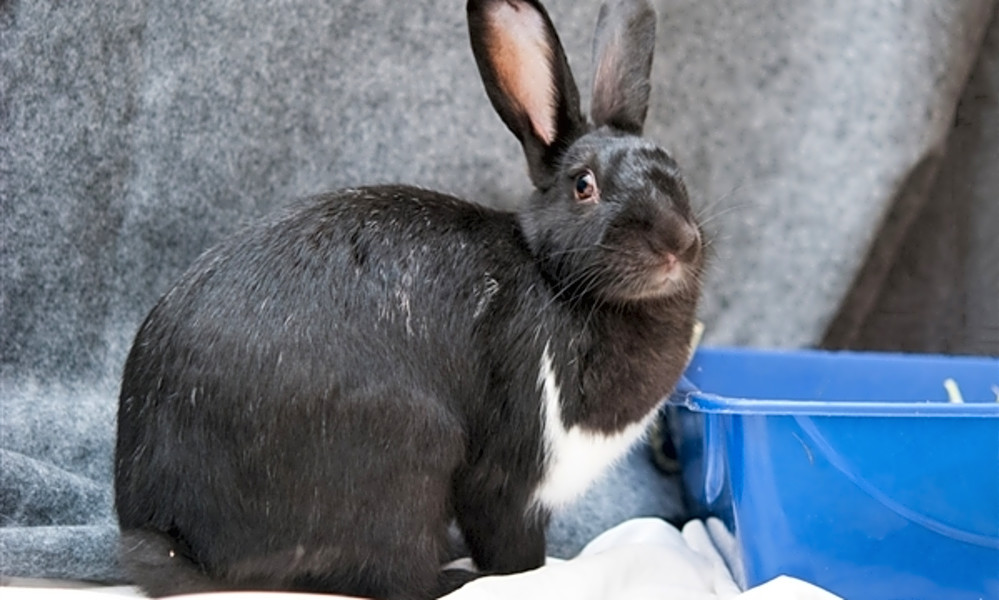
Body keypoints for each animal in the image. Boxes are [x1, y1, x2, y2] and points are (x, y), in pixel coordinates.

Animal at [113, 0, 705, 598]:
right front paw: (534, 574)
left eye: (675, 171)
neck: (554, 277)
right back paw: (452, 575)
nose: (678, 242)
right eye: (585, 185)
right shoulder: (511, 476)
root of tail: (179, 541)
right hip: (409, 458)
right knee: (395, 577)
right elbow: (512, 551)